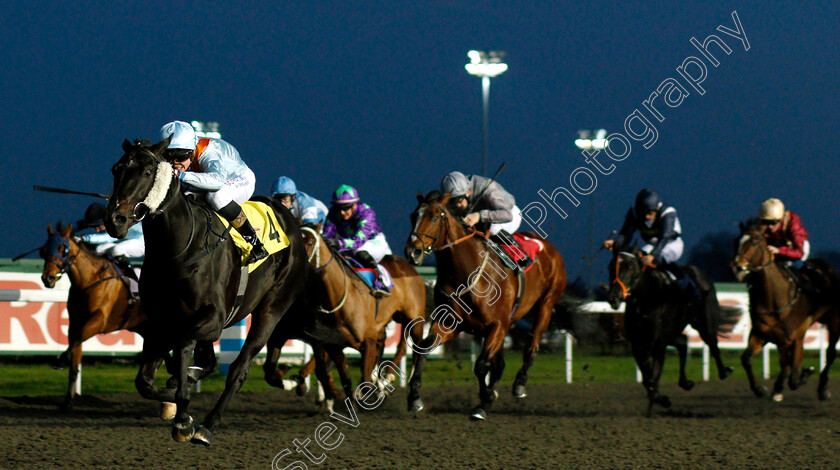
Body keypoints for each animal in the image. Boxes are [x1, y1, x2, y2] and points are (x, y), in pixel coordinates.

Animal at [39, 222, 144, 406]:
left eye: (63, 249)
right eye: (44, 250)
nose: (48, 278)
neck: (89, 280)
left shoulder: (99, 320)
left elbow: (77, 339)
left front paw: (60, 361)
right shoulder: (75, 323)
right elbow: (75, 355)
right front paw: (68, 400)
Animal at [264, 225, 426, 408]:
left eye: (311, 242)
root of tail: (407, 265)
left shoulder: (365, 340)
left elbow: (360, 381)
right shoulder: (327, 341)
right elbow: (340, 376)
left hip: (414, 320)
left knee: (416, 348)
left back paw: (406, 393)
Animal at [406, 191, 568, 418]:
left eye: (435, 217)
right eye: (413, 216)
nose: (413, 252)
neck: (467, 273)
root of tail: (547, 246)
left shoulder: (497, 324)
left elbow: (481, 365)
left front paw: (484, 402)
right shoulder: (452, 325)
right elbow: (424, 349)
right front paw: (414, 398)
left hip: (545, 304)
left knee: (531, 346)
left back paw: (519, 383)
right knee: (500, 363)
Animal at [732, 222, 836, 402]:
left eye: (754, 242)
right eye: (737, 241)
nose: (738, 267)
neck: (774, 297)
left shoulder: (796, 338)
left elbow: (794, 378)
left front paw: (807, 372)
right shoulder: (761, 334)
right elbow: (746, 359)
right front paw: (760, 389)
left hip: (834, 322)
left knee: (830, 354)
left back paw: (823, 389)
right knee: (784, 362)